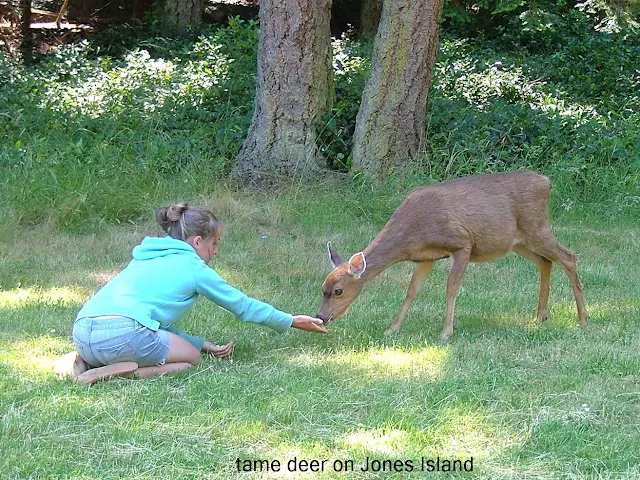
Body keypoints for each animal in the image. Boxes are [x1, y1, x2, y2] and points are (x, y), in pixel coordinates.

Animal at [318, 171, 588, 340]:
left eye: (338, 291)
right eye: (323, 288)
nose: (321, 317)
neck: (412, 232)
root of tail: (546, 181)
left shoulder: (461, 244)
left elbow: (451, 288)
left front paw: (446, 332)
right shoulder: (425, 257)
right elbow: (412, 290)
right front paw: (392, 329)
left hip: (536, 227)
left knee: (568, 257)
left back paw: (583, 318)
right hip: (516, 241)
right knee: (546, 261)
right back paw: (540, 316)